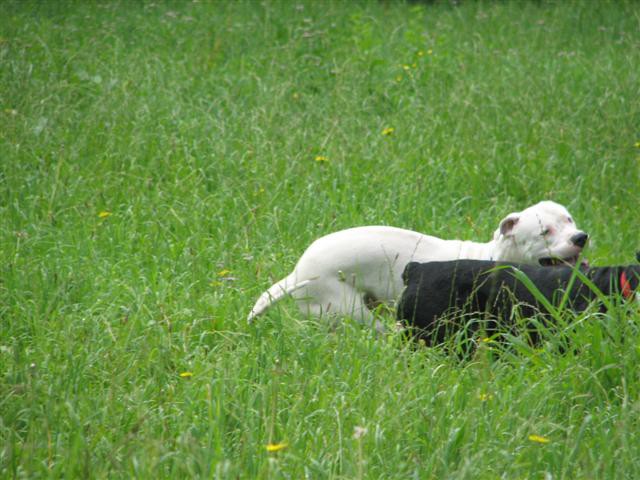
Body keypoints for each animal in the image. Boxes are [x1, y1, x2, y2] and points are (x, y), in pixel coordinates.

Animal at [248, 200, 588, 330]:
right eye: (545, 232)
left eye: (569, 219)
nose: (581, 237)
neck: (493, 258)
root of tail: (297, 272)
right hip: (351, 310)